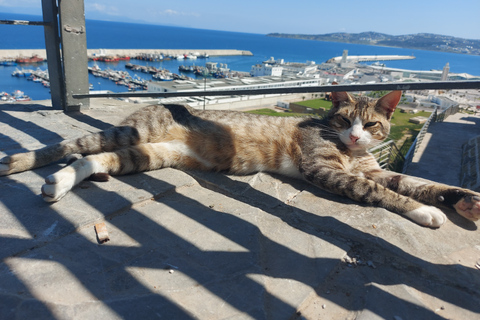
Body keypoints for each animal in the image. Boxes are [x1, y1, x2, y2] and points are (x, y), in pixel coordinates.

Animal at [0, 90, 478, 228]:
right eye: (344, 119)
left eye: (372, 124)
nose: (357, 135)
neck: (352, 152)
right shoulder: (322, 168)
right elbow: (377, 191)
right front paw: (423, 212)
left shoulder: (375, 167)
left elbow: (414, 184)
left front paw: (462, 200)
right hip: (133, 132)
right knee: (69, 146)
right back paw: (16, 163)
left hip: (153, 155)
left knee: (96, 162)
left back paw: (61, 183)